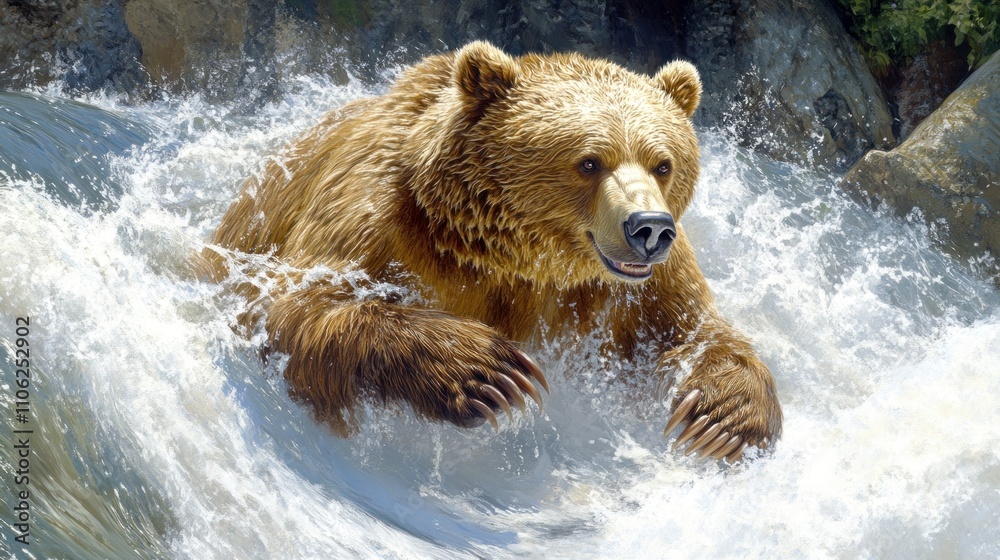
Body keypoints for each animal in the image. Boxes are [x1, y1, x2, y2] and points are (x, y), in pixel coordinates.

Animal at [208, 41, 782, 462]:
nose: (649, 228)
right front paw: (486, 370)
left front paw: (722, 419)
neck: (519, 256)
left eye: (663, 163)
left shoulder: (634, 286)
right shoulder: (372, 210)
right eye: (589, 161)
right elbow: (295, 305)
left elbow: (692, 330)